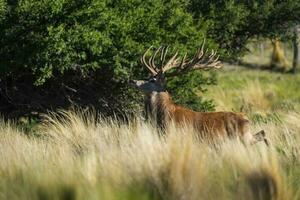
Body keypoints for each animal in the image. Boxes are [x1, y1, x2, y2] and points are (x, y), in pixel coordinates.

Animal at [130, 42, 268, 145]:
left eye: (152, 80)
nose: (132, 80)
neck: (163, 117)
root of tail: (246, 118)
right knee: (262, 133)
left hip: (241, 138)